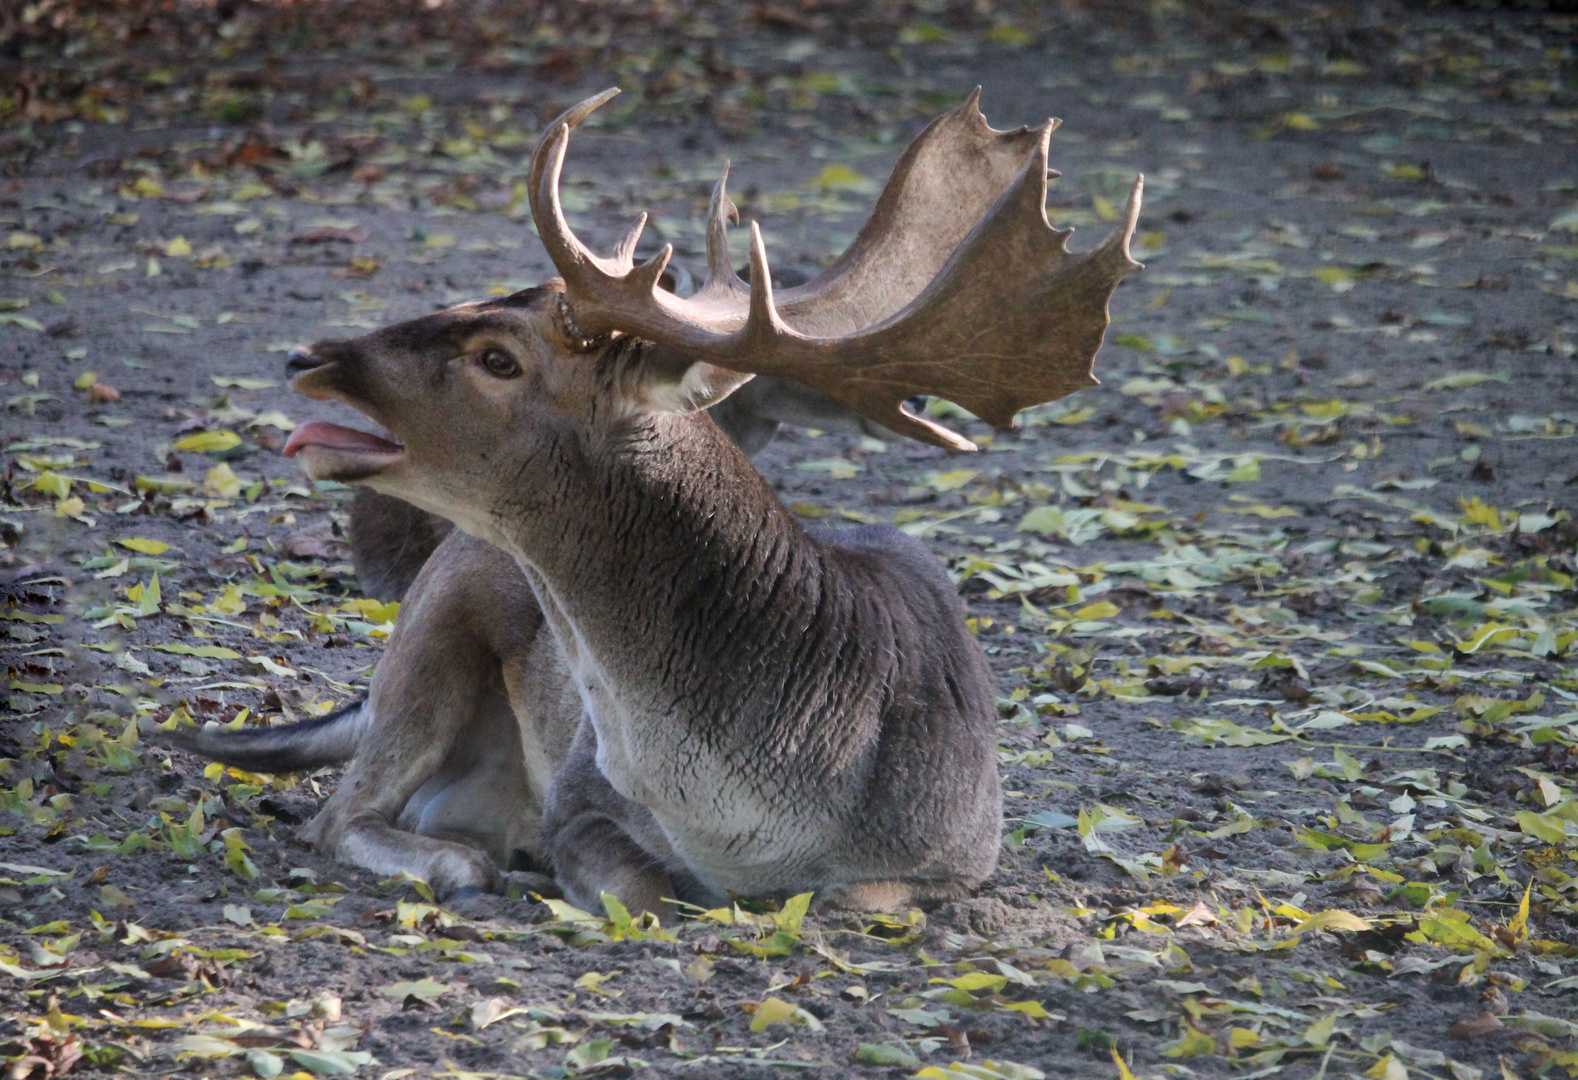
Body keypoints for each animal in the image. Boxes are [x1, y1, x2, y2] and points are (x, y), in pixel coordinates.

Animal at [169, 88, 1136, 922]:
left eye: (498, 358)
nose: (307, 356)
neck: (759, 818)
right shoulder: (578, 797)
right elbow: (646, 895)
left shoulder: (962, 853)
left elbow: (850, 899)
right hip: (431, 620)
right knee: (339, 813)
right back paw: (468, 862)